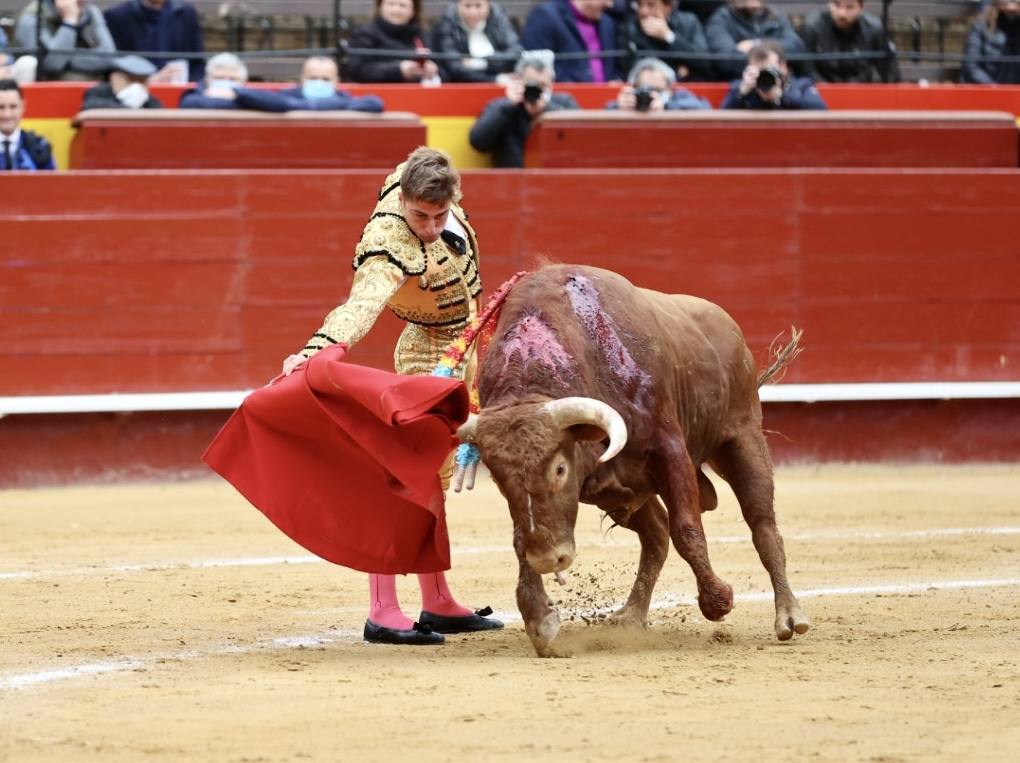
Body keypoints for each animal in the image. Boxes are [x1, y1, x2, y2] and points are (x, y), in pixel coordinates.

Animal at [459, 263, 807, 656]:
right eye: (500, 481)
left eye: (560, 469)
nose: (549, 560)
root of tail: (731, 330)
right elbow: (522, 539)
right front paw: (540, 620)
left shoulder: (670, 450)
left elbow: (687, 530)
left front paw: (718, 600)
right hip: (624, 490)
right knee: (656, 535)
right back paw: (631, 615)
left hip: (743, 439)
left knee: (763, 527)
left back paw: (789, 615)